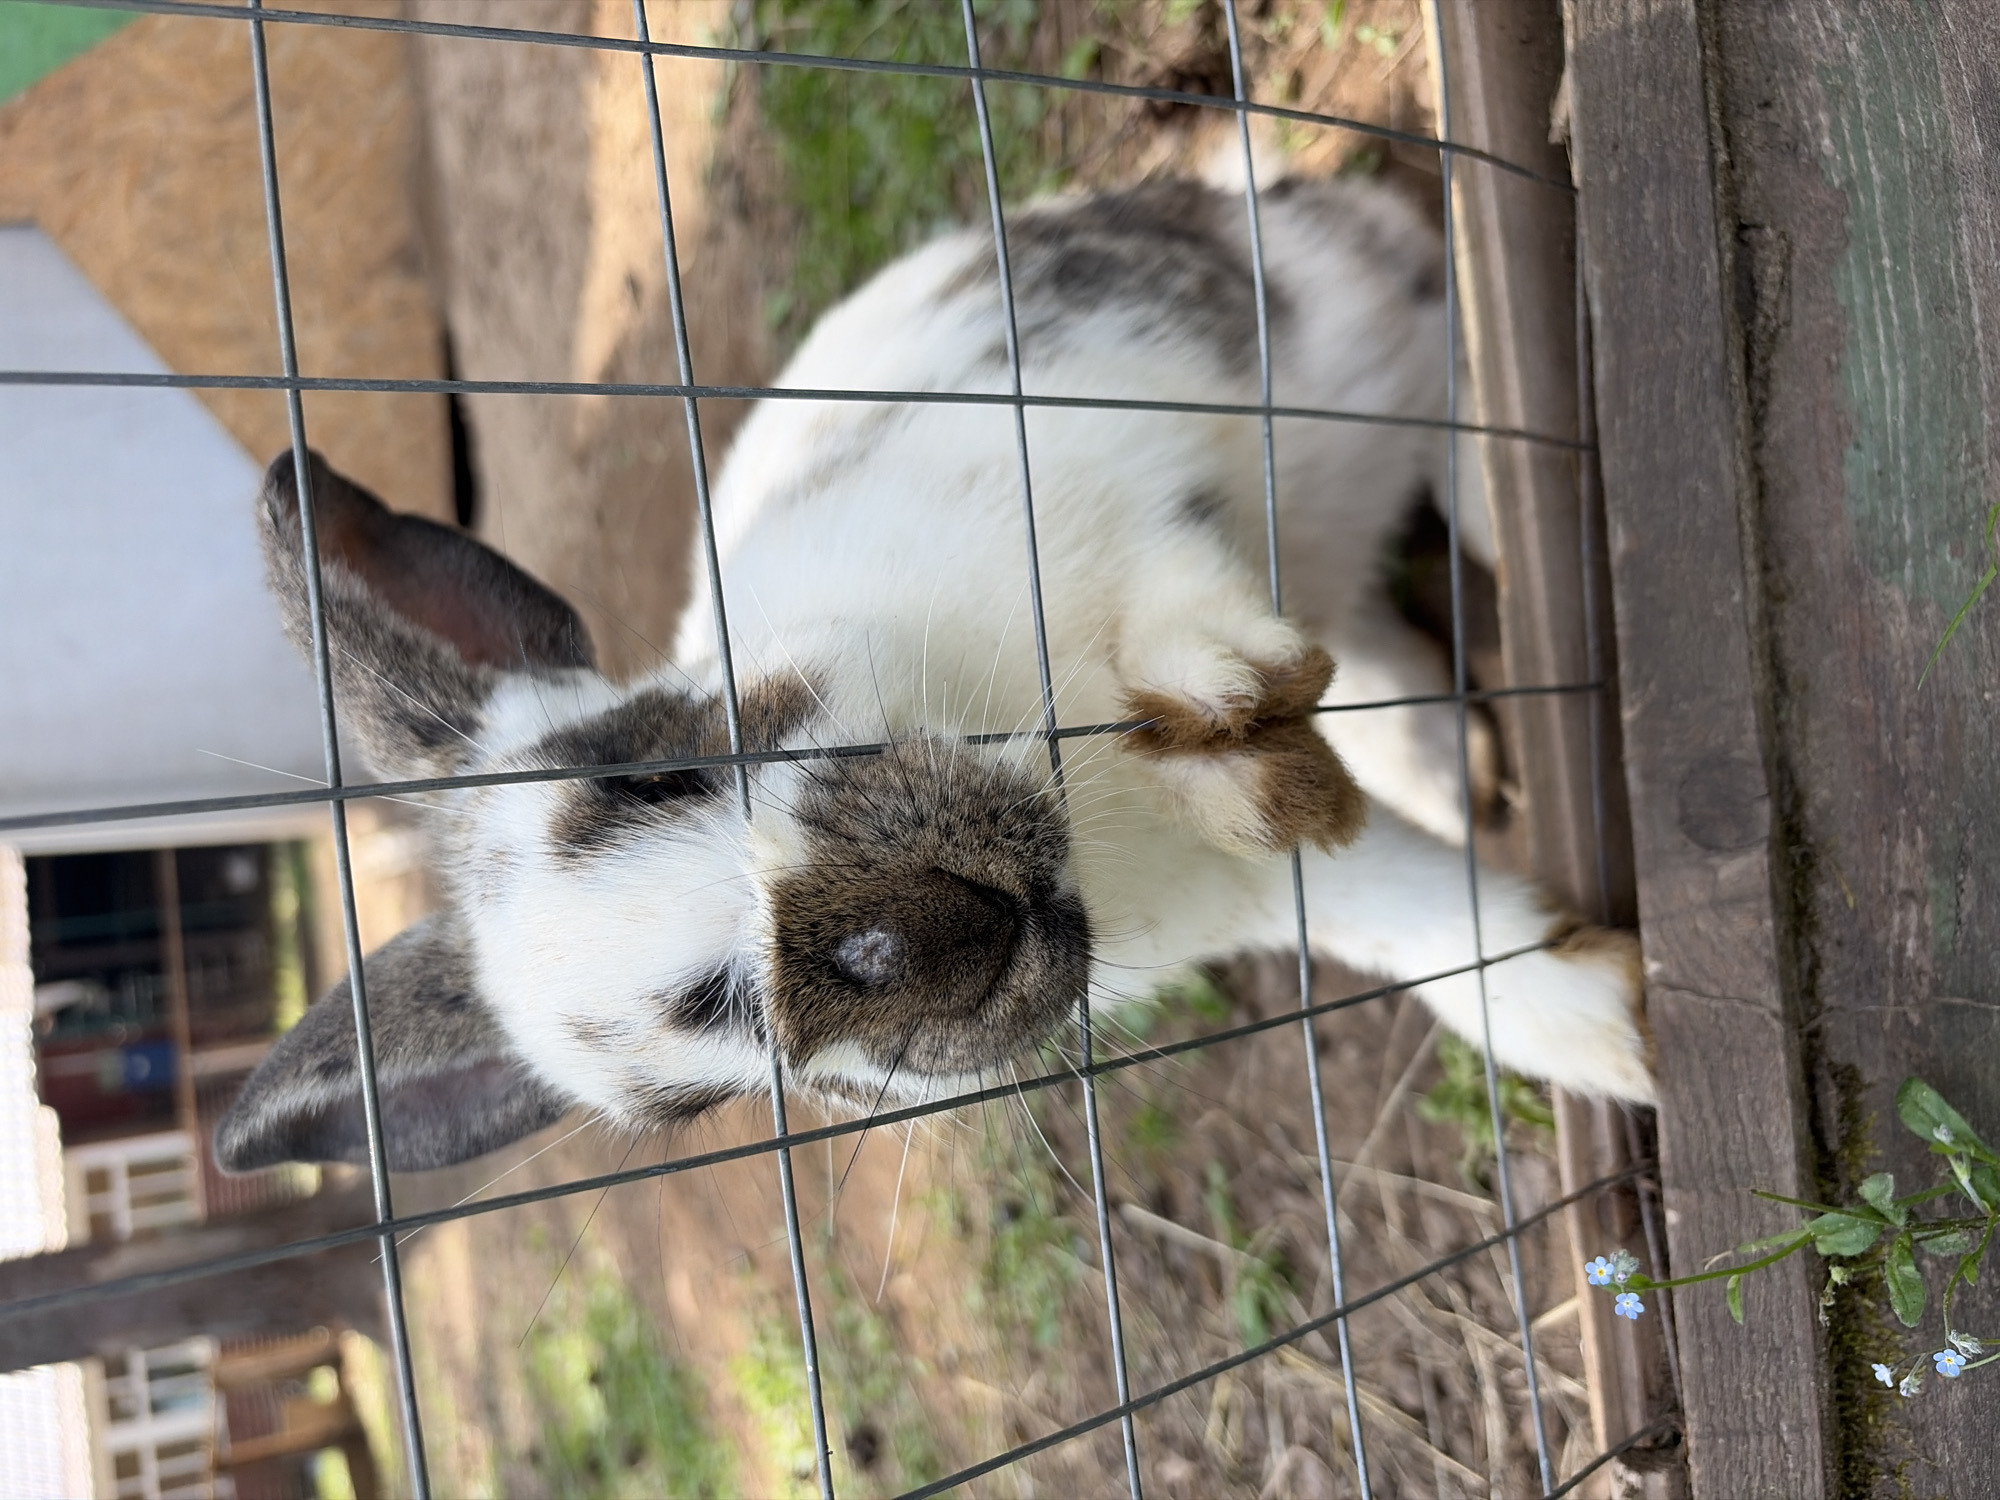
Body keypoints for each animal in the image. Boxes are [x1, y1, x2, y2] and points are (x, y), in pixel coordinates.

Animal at [216, 175, 1651, 1176]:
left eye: (652, 763)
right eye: (702, 1080)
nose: (907, 938)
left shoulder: (1098, 490)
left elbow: (1180, 604)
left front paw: (1224, 700)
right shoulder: (1272, 900)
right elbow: (1437, 936)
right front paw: (1616, 1027)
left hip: (1333, 326)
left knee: (1442, 349)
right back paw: (1437, 762)